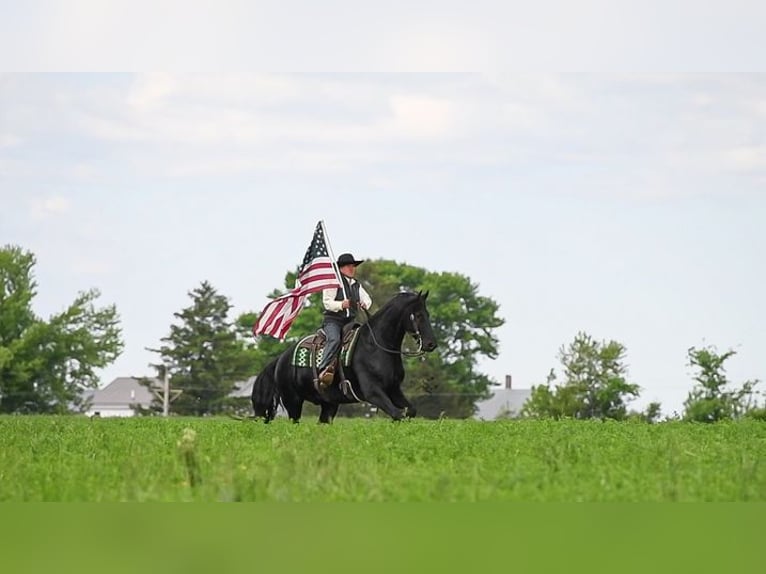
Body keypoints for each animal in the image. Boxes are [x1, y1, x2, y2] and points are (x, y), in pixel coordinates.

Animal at [254, 292, 438, 424]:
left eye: (428, 314)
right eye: (418, 315)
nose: (431, 344)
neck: (375, 346)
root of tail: (281, 359)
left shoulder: (393, 390)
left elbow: (410, 411)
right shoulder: (373, 393)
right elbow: (397, 414)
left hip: (329, 404)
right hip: (293, 401)